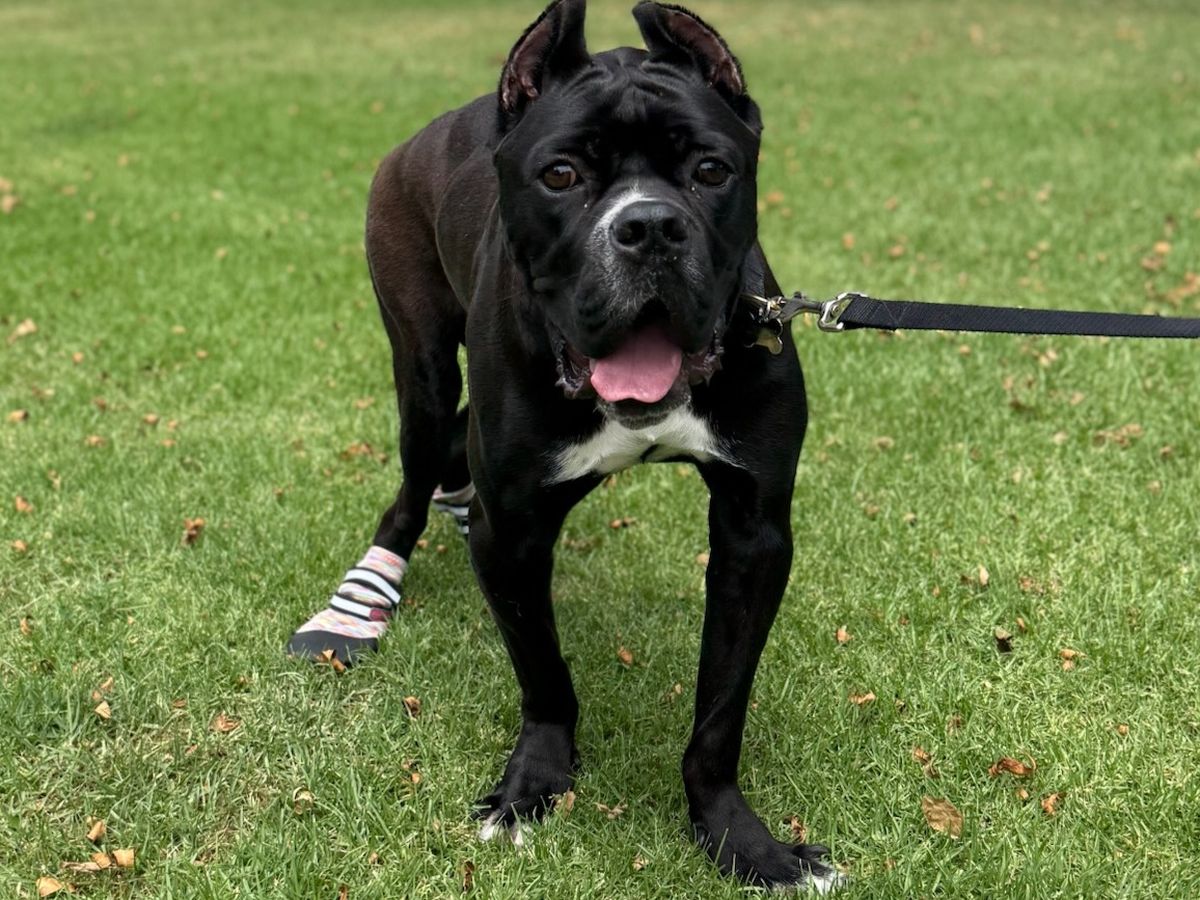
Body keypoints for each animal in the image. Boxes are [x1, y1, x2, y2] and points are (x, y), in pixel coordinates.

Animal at [287, 0, 841, 890]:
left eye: (711, 170)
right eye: (560, 176)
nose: (649, 227)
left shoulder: (754, 534)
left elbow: (721, 710)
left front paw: (741, 840)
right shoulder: (512, 529)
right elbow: (543, 673)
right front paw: (533, 786)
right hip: (420, 368)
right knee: (416, 469)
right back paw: (361, 598)